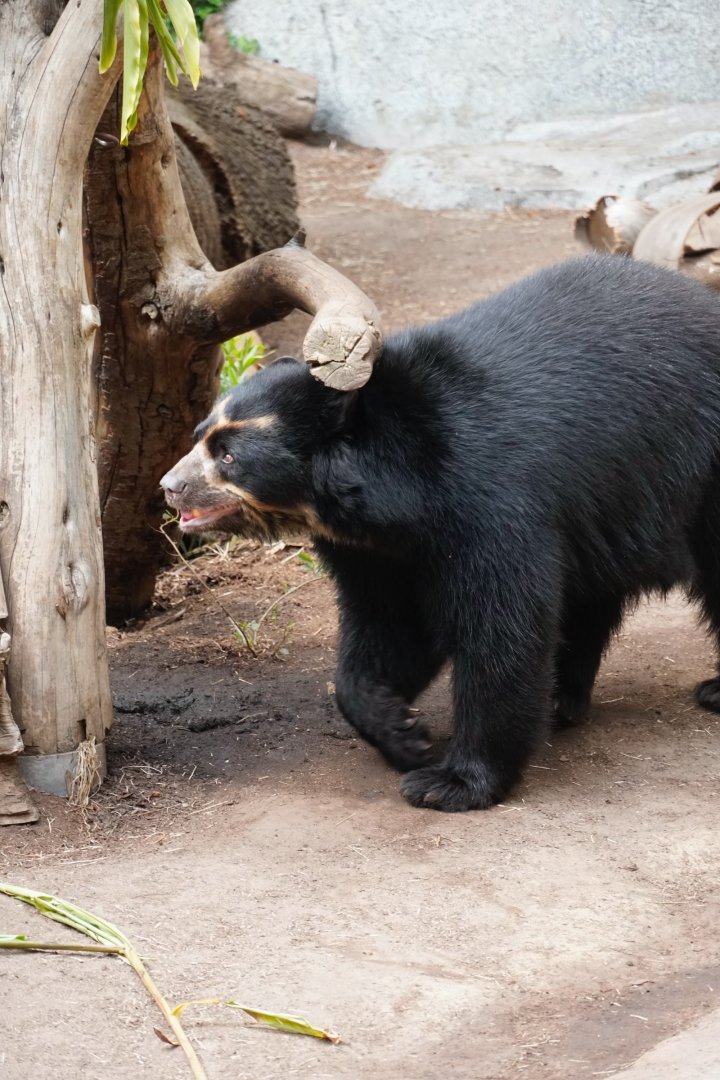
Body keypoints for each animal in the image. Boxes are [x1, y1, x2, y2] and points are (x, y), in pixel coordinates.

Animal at [161, 253, 720, 812]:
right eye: (199, 437)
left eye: (230, 457)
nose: (170, 487)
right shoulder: (377, 552)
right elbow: (389, 626)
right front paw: (402, 732)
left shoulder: (490, 503)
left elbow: (502, 628)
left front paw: (451, 781)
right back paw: (565, 699)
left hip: (697, 470)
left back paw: (708, 690)